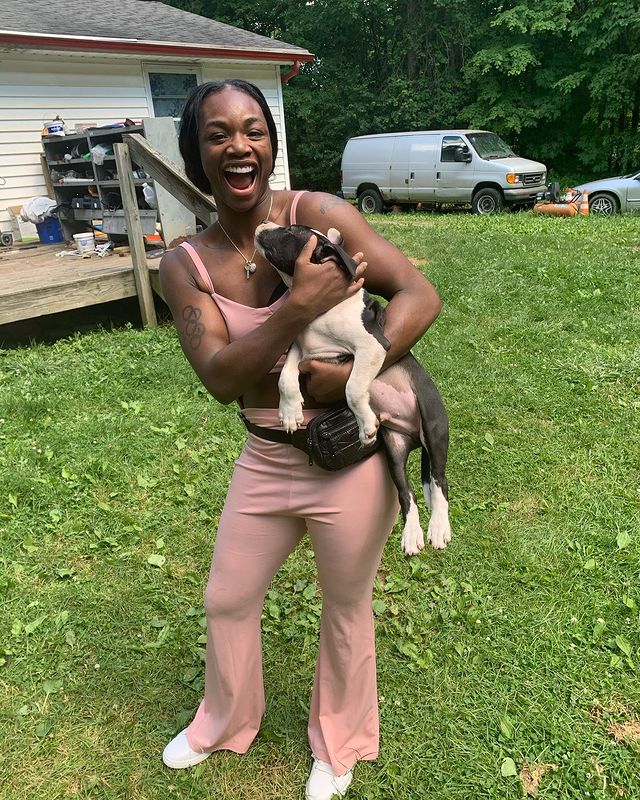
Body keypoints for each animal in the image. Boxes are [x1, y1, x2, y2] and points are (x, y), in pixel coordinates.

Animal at [251, 220, 450, 556]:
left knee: (439, 480)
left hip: (434, 427)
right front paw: (289, 412)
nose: (263, 223)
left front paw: (365, 424)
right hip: (394, 451)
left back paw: (439, 528)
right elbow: (285, 377)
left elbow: (353, 387)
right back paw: (412, 535)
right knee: (406, 493)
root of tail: (413, 436)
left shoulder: (372, 346)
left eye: (291, 232)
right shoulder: (301, 348)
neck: (322, 310)